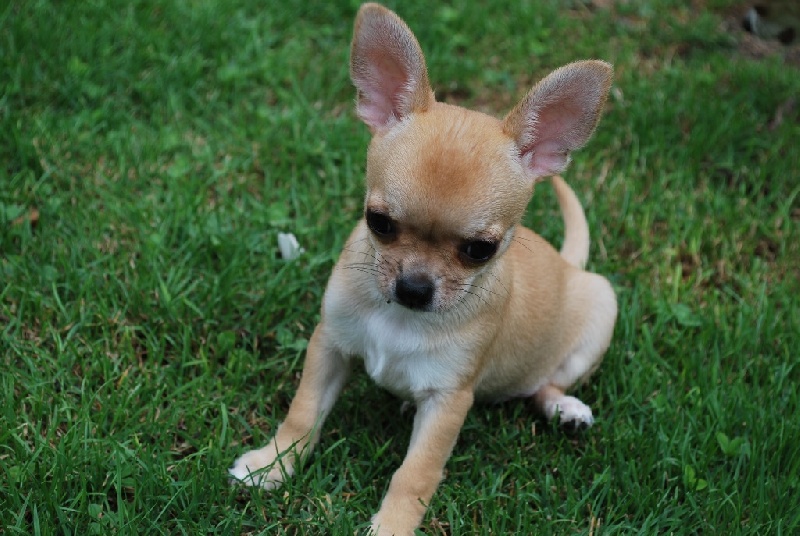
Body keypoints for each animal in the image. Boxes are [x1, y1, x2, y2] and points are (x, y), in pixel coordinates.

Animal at [230, 4, 616, 534]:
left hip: (601, 309)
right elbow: (302, 415)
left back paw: (565, 408)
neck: (401, 319)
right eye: (379, 222)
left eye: (480, 250)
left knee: (543, 384)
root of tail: (568, 263)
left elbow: (415, 473)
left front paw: (391, 526)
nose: (413, 287)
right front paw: (270, 465)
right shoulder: (330, 345)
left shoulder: (448, 400)